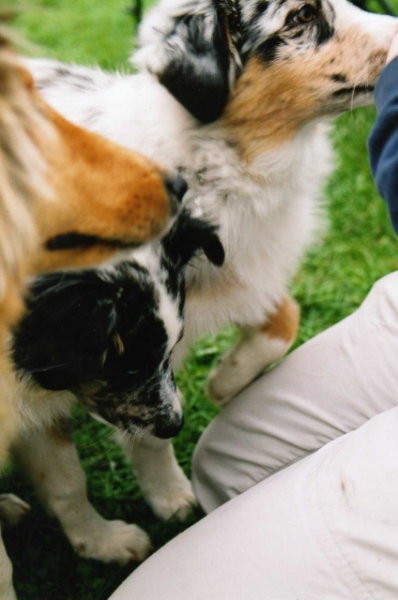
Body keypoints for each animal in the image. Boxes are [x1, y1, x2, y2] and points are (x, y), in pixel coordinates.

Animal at [21, 0, 398, 568]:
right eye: (301, 17)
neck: (226, 170)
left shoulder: (233, 284)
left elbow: (282, 321)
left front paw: (223, 387)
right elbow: (90, 461)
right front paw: (140, 516)